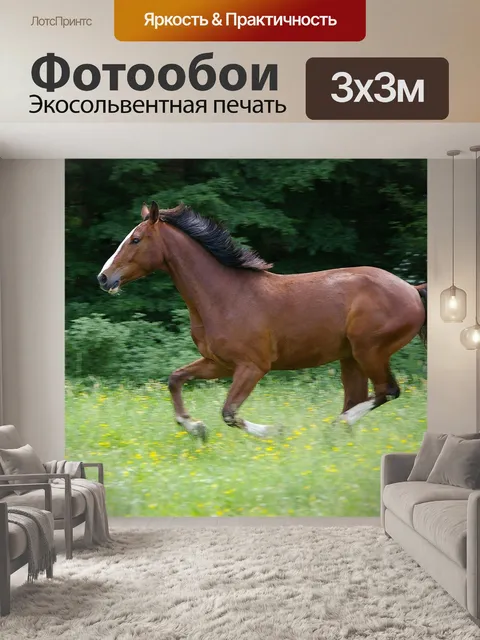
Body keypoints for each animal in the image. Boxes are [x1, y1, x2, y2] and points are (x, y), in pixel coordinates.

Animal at [98, 201, 427, 441]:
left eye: (136, 239)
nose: (103, 278)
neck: (225, 296)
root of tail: (412, 289)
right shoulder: (219, 364)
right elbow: (175, 379)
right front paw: (196, 427)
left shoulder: (253, 367)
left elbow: (229, 413)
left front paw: (275, 431)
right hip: (350, 358)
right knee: (359, 397)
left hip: (370, 351)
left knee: (387, 391)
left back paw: (335, 426)